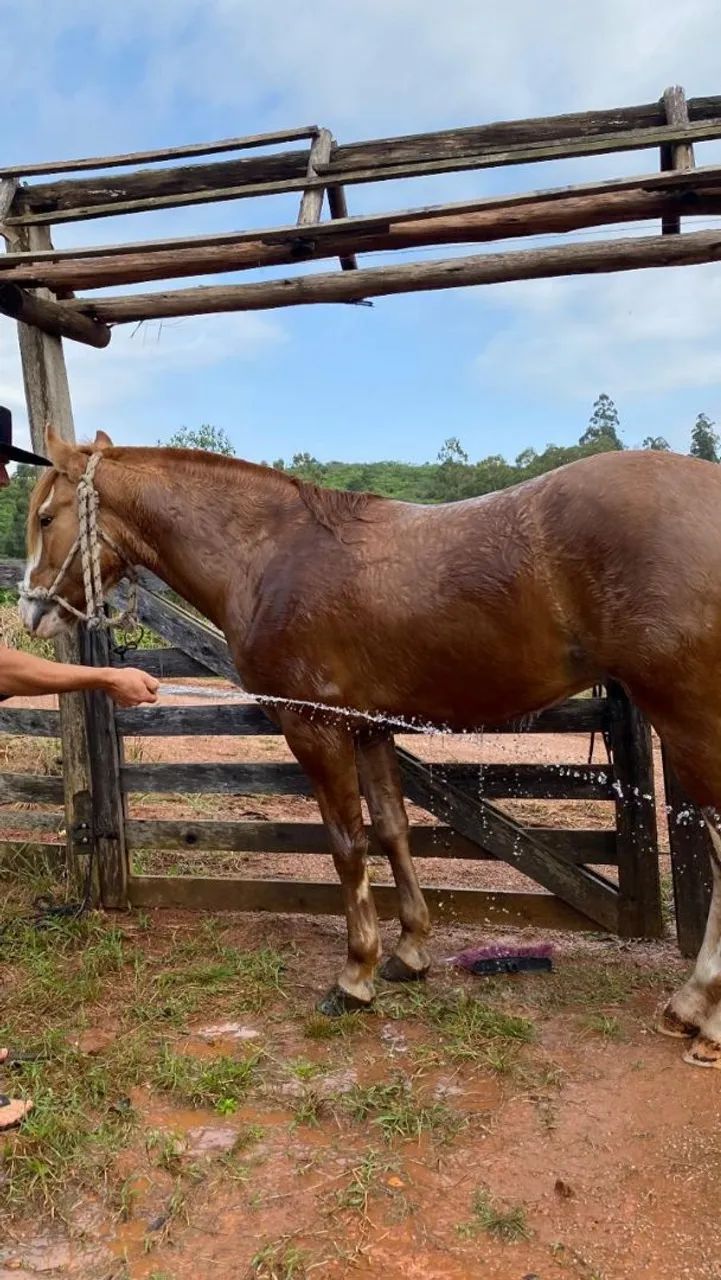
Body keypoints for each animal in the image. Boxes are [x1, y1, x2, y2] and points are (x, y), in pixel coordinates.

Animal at [19, 427, 721, 1069]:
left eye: (46, 516)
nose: (30, 613)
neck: (269, 554)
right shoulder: (367, 726)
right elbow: (391, 828)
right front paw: (409, 954)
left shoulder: (315, 728)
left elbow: (347, 844)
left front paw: (355, 975)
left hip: (689, 722)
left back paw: (700, 1013)